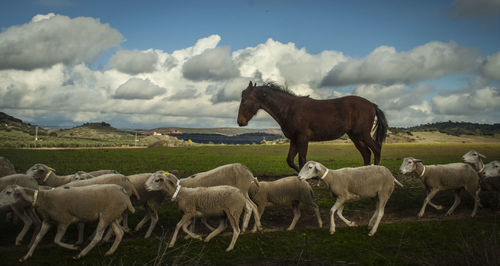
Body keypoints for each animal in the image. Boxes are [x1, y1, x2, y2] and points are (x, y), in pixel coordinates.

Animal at [0, 184, 135, 260]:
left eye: (8, 192)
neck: (43, 198)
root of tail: (123, 192)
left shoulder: (64, 221)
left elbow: (56, 241)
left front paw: (74, 248)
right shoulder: (48, 221)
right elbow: (38, 238)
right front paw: (26, 256)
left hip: (106, 216)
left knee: (98, 237)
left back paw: (81, 255)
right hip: (111, 215)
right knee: (119, 232)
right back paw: (110, 252)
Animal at [236, 81, 388, 172]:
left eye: (245, 101)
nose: (240, 122)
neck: (290, 108)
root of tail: (371, 104)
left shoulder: (302, 138)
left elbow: (302, 160)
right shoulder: (294, 139)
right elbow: (290, 160)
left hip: (363, 134)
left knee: (376, 149)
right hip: (355, 136)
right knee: (366, 153)